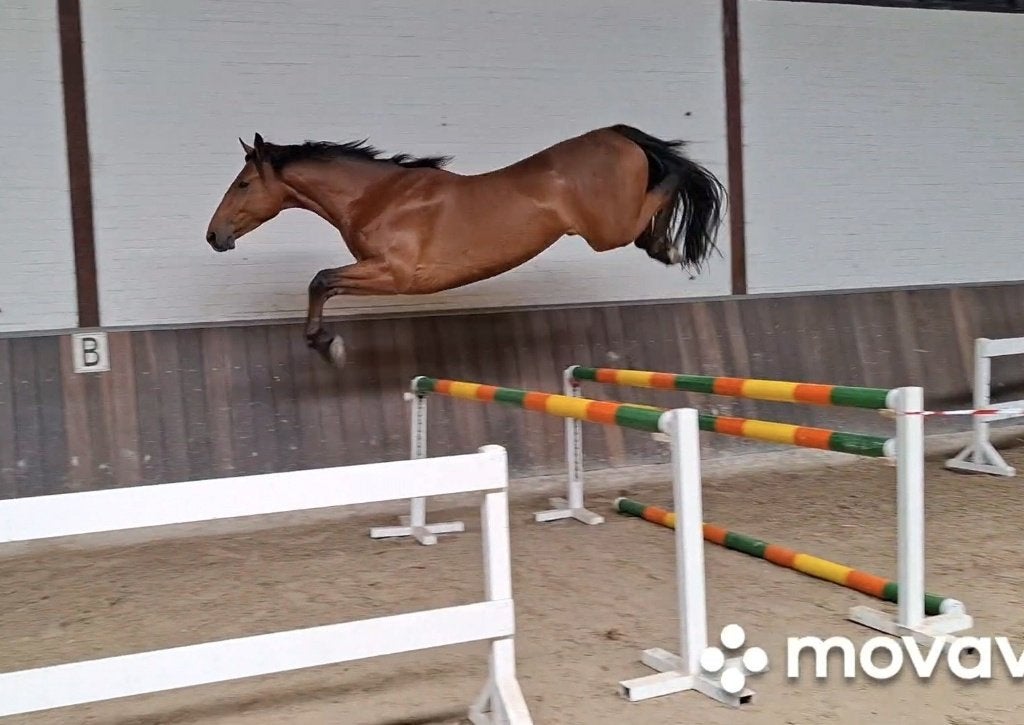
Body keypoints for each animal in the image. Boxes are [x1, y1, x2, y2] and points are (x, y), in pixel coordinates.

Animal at [205, 124, 726, 367]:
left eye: (244, 184)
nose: (215, 236)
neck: (378, 196)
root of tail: (617, 133)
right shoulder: (376, 270)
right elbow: (323, 284)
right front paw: (325, 343)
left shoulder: (393, 274)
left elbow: (320, 281)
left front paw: (328, 346)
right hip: (611, 228)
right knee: (651, 217)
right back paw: (663, 247)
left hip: (605, 231)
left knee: (672, 180)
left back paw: (670, 246)